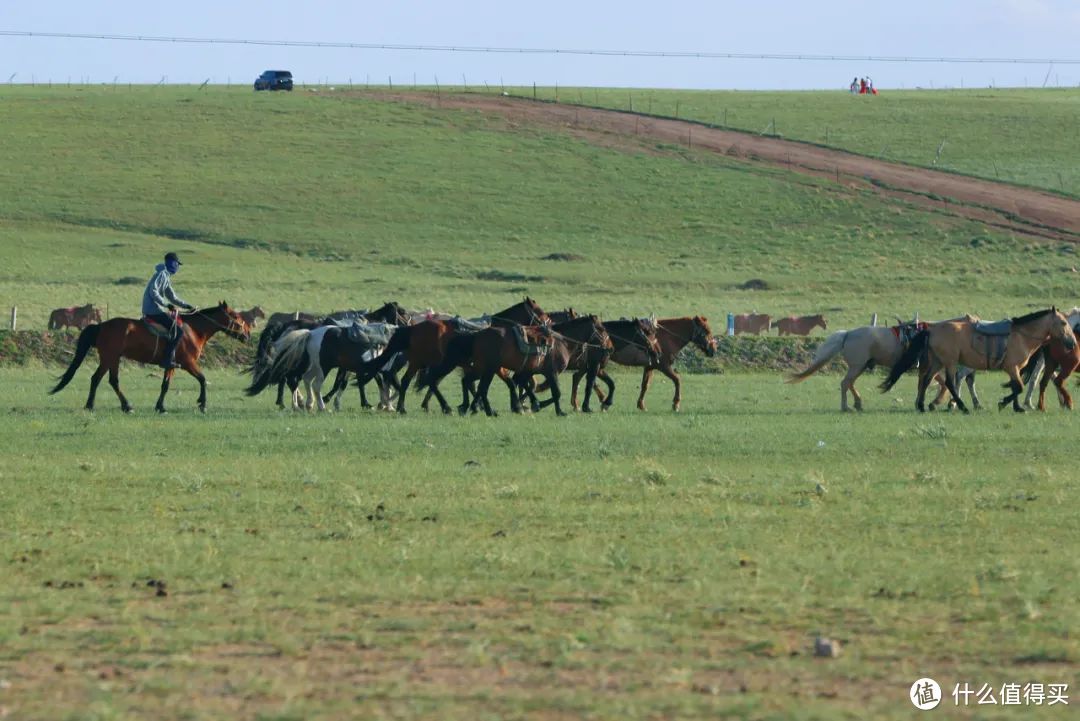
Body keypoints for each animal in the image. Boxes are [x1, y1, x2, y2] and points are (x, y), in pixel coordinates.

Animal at [50, 302, 248, 414]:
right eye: (236, 317)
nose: (247, 335)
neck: (193, 330)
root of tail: (101, 326)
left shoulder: (171, 365)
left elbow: (165, 385)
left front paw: (160, 407)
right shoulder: (188, 363)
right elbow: (203, 379)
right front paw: (202, 404)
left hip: (112, 358)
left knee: (104, 380)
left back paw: (104, 405)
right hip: (110, 358)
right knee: (104, 379)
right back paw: (118, 406)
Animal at [790, 321, 984, 410]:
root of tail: (847, 334)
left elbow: (929, 384)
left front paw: (928, 402)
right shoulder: (929, 366)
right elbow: (941, 384)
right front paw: (936, 402)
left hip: (860, 366)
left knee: (849, 383)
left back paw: (858, 403)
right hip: (857, 366)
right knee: (845, 383)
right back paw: (847, 407)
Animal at [881, 306, 1075, 414]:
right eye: (1064, 323)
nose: (1072, 343)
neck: (1021, 335)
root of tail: (932, 329)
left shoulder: (1016, 369)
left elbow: (1016, 387)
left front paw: (1017, 408)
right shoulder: (1012, 367)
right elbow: (1018, 387)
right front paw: (1003, 403)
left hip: (938, 361)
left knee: (927, 380)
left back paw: (922, 406)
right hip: (950, 362)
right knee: (950, 383)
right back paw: (962, 406)